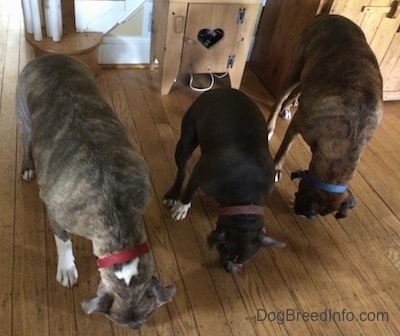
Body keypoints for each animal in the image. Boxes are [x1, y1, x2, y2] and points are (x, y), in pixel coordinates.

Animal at [15, 54, 175, 328]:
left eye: (144, 319)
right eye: (121, 324)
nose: (137, 329)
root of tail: (50, 56)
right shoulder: (56, 213)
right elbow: (63, 241)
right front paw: (67, 268)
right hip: (24, 121)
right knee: (26, 142)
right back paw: (27, 166)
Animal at [266, 15, 382, 220]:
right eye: (312, 212)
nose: (302, 214)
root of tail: (331, 15)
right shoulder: (298, 124)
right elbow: (284, 149)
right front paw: (277, 168)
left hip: (309, 75)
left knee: (295, 93)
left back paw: (287, 108)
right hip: (295, 69)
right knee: (280, 98)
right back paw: (271, 125)